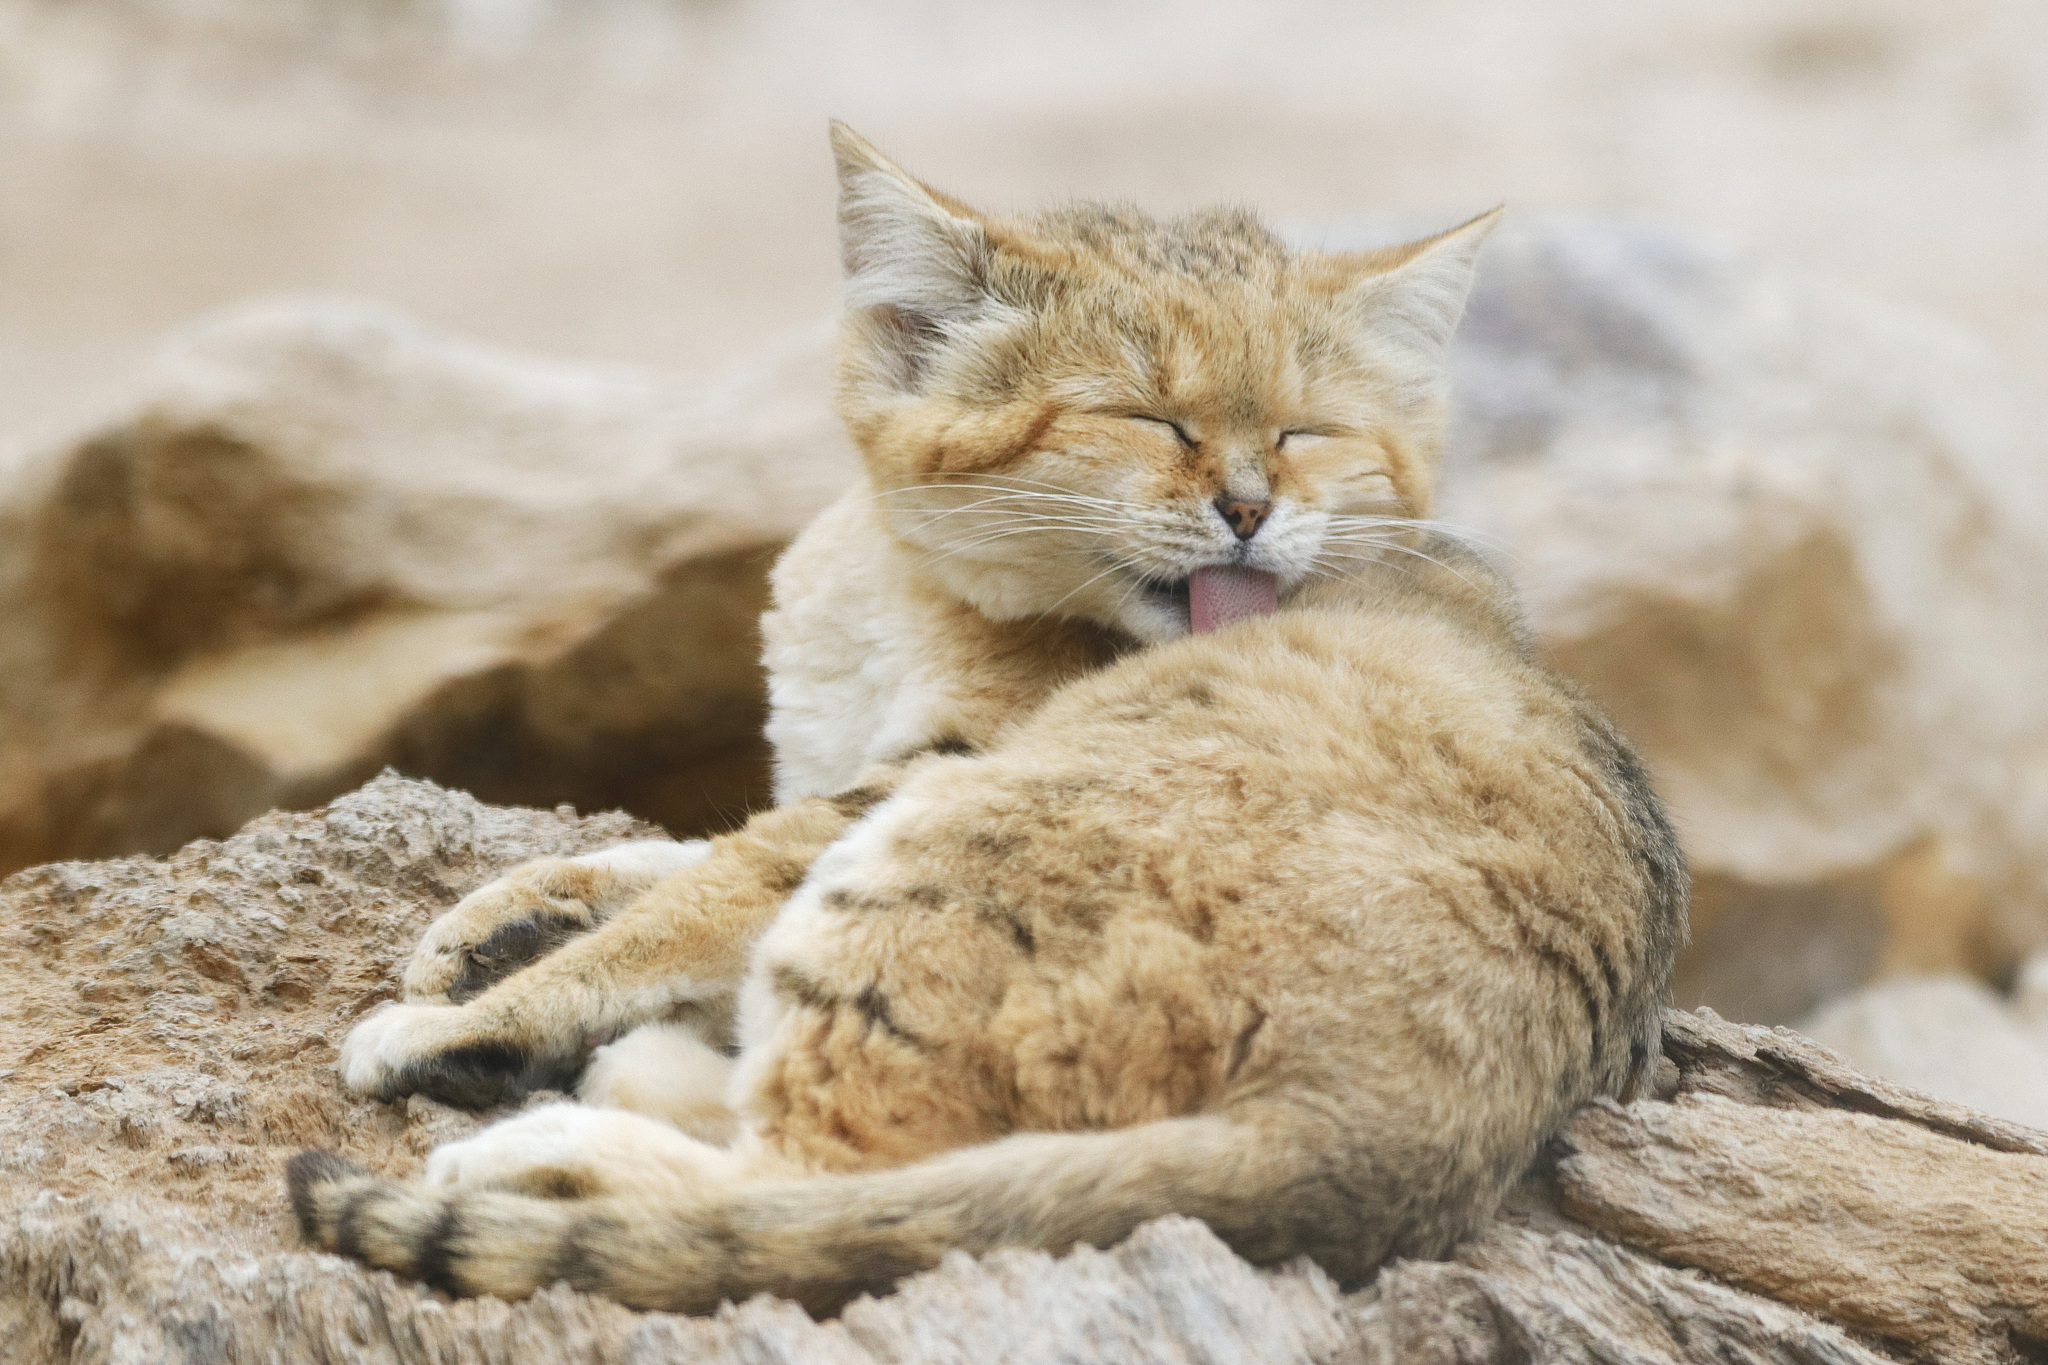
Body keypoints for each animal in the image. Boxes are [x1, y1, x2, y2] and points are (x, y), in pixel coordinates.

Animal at [292, 125, 1695, 1309]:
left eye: (1306, 435)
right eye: (1146, 418)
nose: (1251, 508)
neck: (895, 588)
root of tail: (1399, 1128)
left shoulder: (917, 777)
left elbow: (713, 881)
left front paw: (480, 1011)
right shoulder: (855, 773)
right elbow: (683, 850)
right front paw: (507, 915)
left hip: (953, 859)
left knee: (811, 1186)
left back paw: (554, 1142)